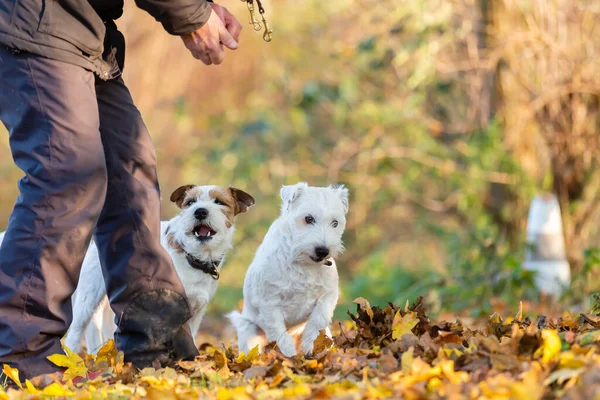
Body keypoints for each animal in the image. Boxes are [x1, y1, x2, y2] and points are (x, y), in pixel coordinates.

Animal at [62, 184, 253, 354]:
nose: (200, 211)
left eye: (219, 202)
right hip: (88, 297)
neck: (191, 255)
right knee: (76, 331)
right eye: (190, 202)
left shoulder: (197, 310)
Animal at [227, 182, 350, 356]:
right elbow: (280, 333)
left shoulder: (328, 295)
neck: (302, 262)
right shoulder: (269, 302)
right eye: (308, 218)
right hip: (249, 329)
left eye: (335, 223)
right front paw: (290, 356)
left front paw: (309, 346)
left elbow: (317, 321)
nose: (323, 251)